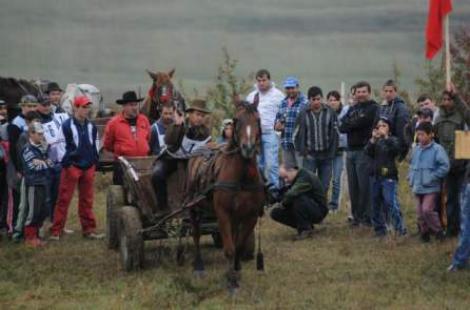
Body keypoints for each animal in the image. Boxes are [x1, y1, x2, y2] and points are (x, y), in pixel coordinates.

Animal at [188, 99, 268, 290]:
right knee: (196, 234)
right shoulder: (223, 213)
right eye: (236, 120)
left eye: (258, 119)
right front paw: (231, 280)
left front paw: (236, 271)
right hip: (194, 208)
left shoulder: (250, 215)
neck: (242, 177)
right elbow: (230, 248)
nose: (248, 148)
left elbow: (238, 245)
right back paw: (198, 266)